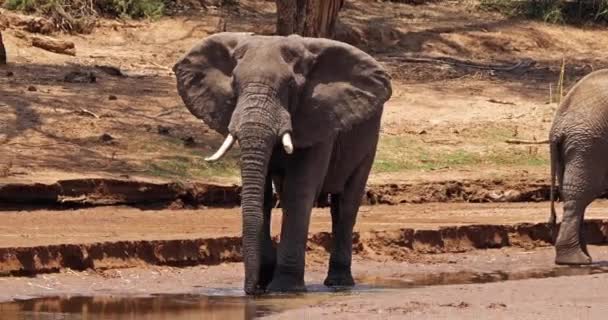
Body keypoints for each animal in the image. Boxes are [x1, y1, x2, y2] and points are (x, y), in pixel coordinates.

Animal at [173, 32, 392, 296]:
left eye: (290, 86)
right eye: (234, 85)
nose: (251, 291)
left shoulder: (318, 117)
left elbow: (299, 190)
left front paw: (284, 289)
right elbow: (264, 194)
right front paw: (265, 281)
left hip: (369, 138)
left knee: (346, 204)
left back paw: (339, 283)